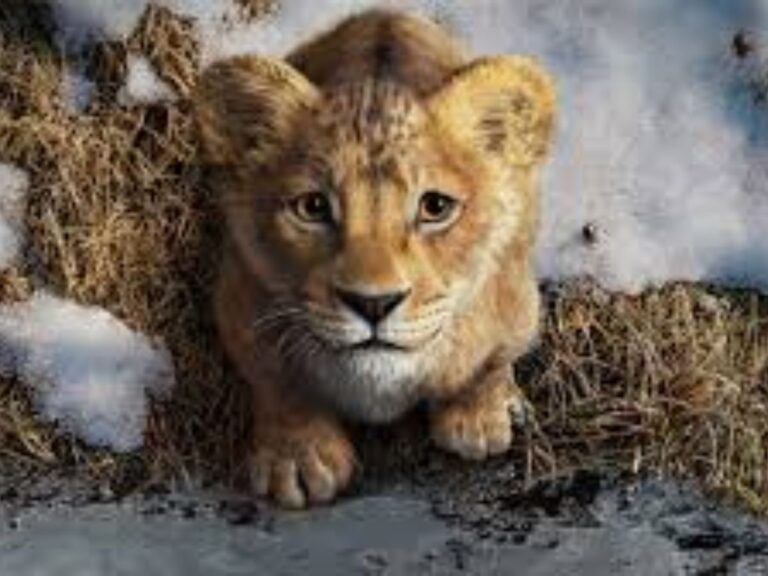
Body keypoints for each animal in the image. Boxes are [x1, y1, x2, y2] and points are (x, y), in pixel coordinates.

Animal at [195, 9, 556, 508]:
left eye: (435, 207)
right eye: (313, 207)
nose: (373, 303)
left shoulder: (518, 298)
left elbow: (490, 361)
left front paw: (478, 418)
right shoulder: (240, 300)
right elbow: (275, 380)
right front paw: (299, 457)